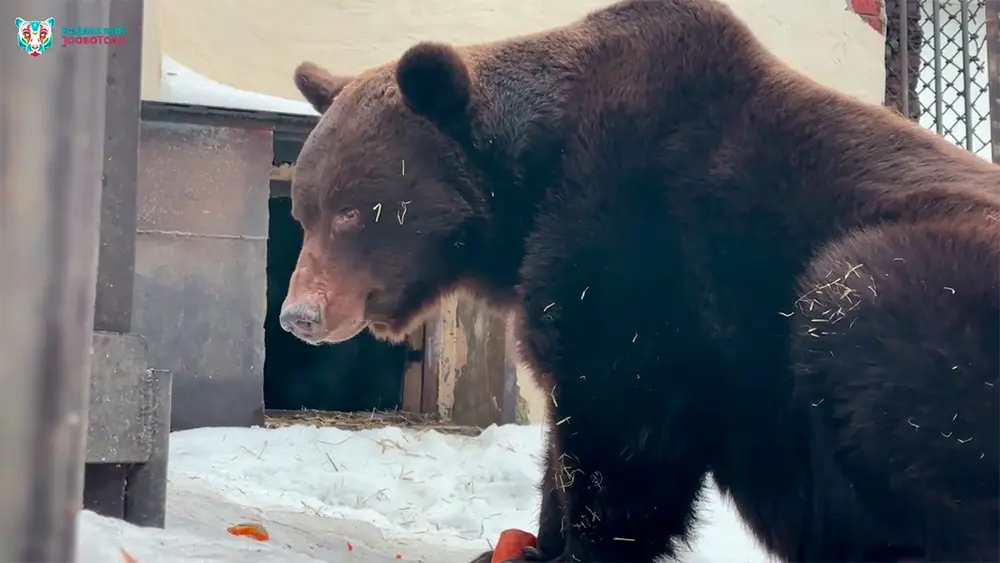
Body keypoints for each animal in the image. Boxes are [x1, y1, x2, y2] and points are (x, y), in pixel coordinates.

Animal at [278, 0, 1000, 560]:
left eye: (353, 210)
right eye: (304, 211)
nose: (299, 314)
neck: (524, 197)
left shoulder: (641, 240)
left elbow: (625, 424)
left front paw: (582, 547)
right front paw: (529, 542)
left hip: (909, 287)